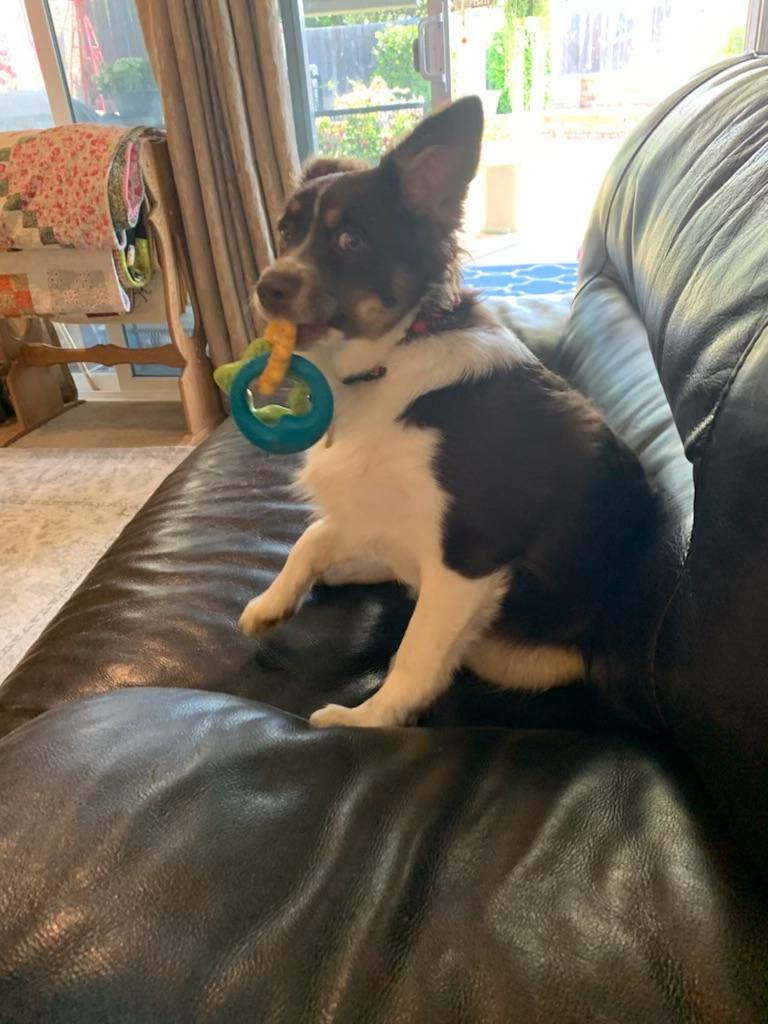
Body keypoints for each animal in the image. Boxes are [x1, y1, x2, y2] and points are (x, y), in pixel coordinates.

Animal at [239, 96, 656, 729]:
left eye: (350, 240)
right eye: (286, 231)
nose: (267, 287)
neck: (390, 359)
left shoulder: (467, 557)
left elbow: (417, 651)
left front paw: (367, 720)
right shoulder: (386, 524)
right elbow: (313, 535)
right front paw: (273, 599)